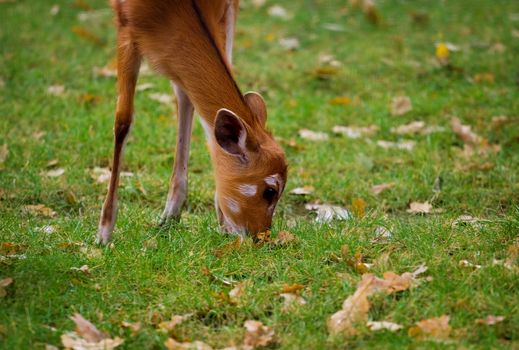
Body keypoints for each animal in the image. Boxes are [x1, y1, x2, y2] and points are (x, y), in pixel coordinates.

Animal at [97, 0, 288, 243]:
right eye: (270, 191)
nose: (262, 238)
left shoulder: (229, 7)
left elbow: (188, 96)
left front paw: (174, 217)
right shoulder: (125, 25)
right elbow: (123, 121)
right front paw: (103, 233)